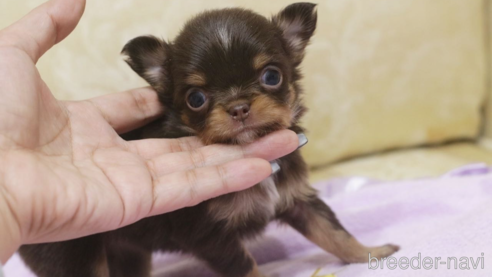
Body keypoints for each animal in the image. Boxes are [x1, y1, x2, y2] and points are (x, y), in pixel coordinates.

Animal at [19, 2, 398, 276]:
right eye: (196, 98)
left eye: (271, 76)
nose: (239, 107)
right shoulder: (209, 235)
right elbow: (247, 267)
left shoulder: (298, 200)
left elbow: (334, 233)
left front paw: (372, 253)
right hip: (75, 256)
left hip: (129, 253)